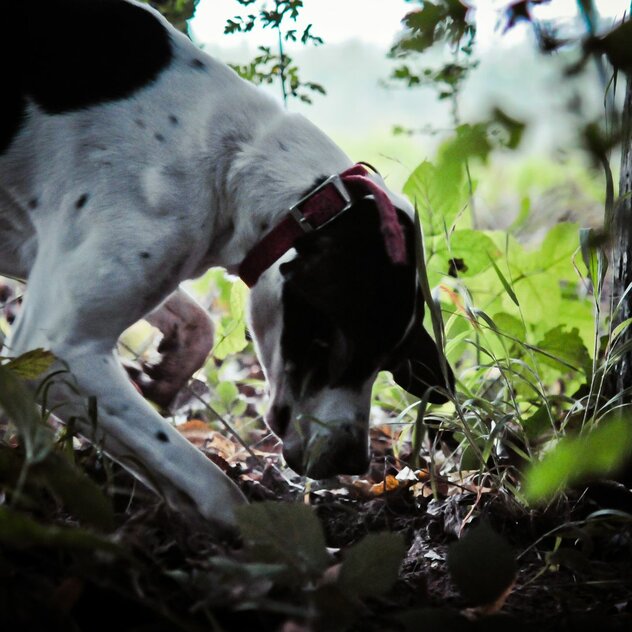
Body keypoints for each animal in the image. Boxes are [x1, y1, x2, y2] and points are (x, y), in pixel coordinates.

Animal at [0, 2, 454, 532]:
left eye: (387, 359)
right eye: (341, 344)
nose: (353, 462)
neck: (230, 157)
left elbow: (199, 326)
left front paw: (168, 371)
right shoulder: (59, 346)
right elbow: (212, 486)